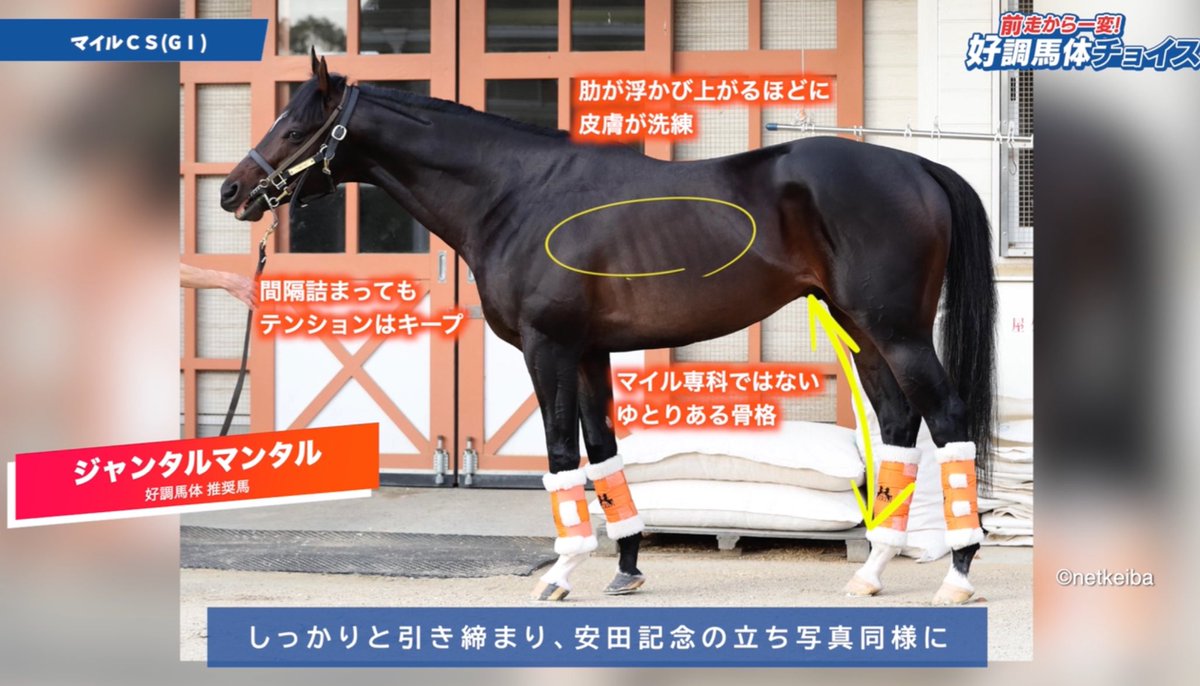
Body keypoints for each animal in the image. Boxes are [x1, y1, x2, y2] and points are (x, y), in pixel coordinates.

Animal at [220, 51, 996, 605]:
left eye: (296, 127)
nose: (232, 190)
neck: (516, 194)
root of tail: (917, 164)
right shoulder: (591, 353)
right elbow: (604, 454)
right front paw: (626, 568)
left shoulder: (549, 349)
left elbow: (564, 455)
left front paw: (560, 572)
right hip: (863, 329)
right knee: (898, 425)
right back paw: (872, 570)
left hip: (895, 330)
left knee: (947, 416)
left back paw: (958, 574)